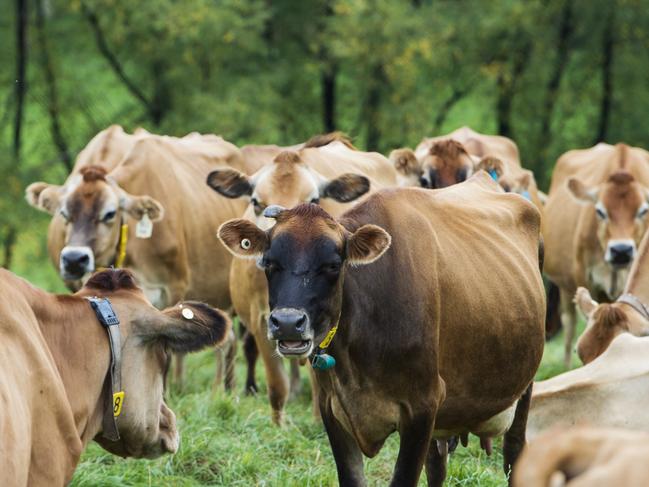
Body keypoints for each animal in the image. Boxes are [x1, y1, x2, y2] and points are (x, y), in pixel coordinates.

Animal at [219, 173, 548, 486]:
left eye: (333, 264)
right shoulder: (332, 408)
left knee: (513, 455)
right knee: (437, 468)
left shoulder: (422, 406)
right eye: (269, 263)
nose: (288, 322)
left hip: (523, 387)